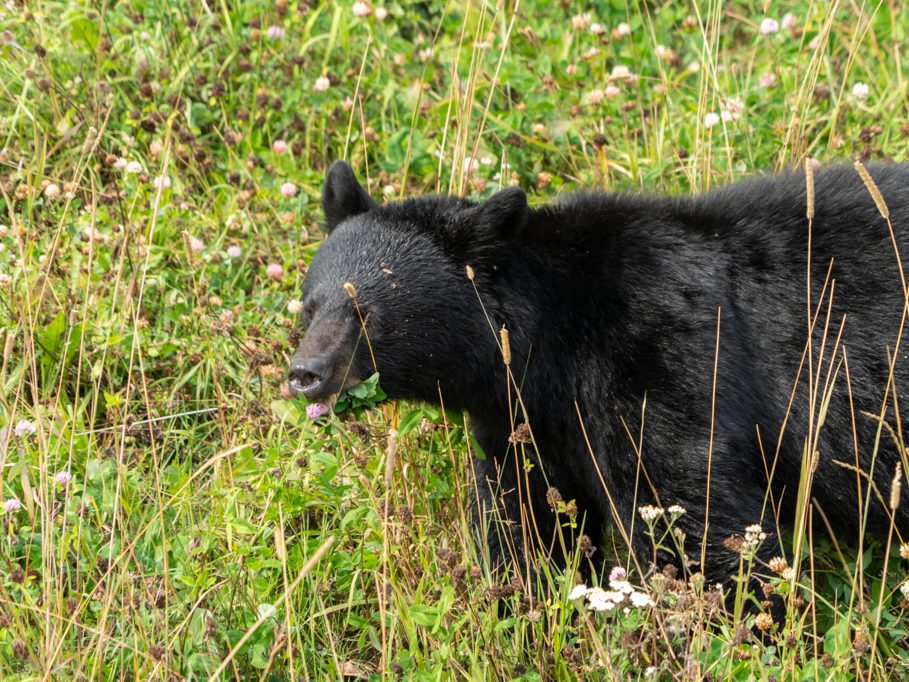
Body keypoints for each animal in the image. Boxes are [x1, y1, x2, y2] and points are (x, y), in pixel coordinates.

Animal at [290, 158, 908, 580]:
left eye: (365, 313)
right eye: (310, 305)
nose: (305, 372)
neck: (553, 337)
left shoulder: (657, 359)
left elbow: (691, 512)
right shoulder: (527, 418)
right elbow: (525, 509)